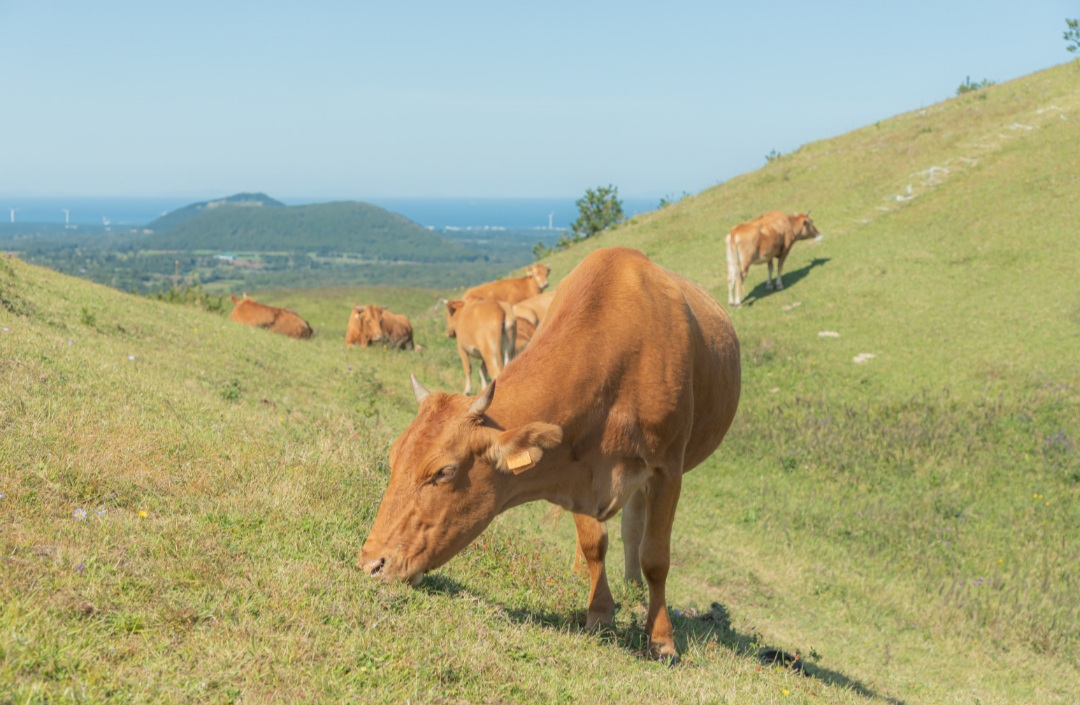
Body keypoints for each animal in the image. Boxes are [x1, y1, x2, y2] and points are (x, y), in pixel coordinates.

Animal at [360, 247, 741, 663]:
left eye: (443, 471)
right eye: (394, 458)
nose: (372, 563)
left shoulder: (667, 469)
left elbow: (656, 557)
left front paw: (661, 641)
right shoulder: (576, 468)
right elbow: (594, 545)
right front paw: (599, 614)